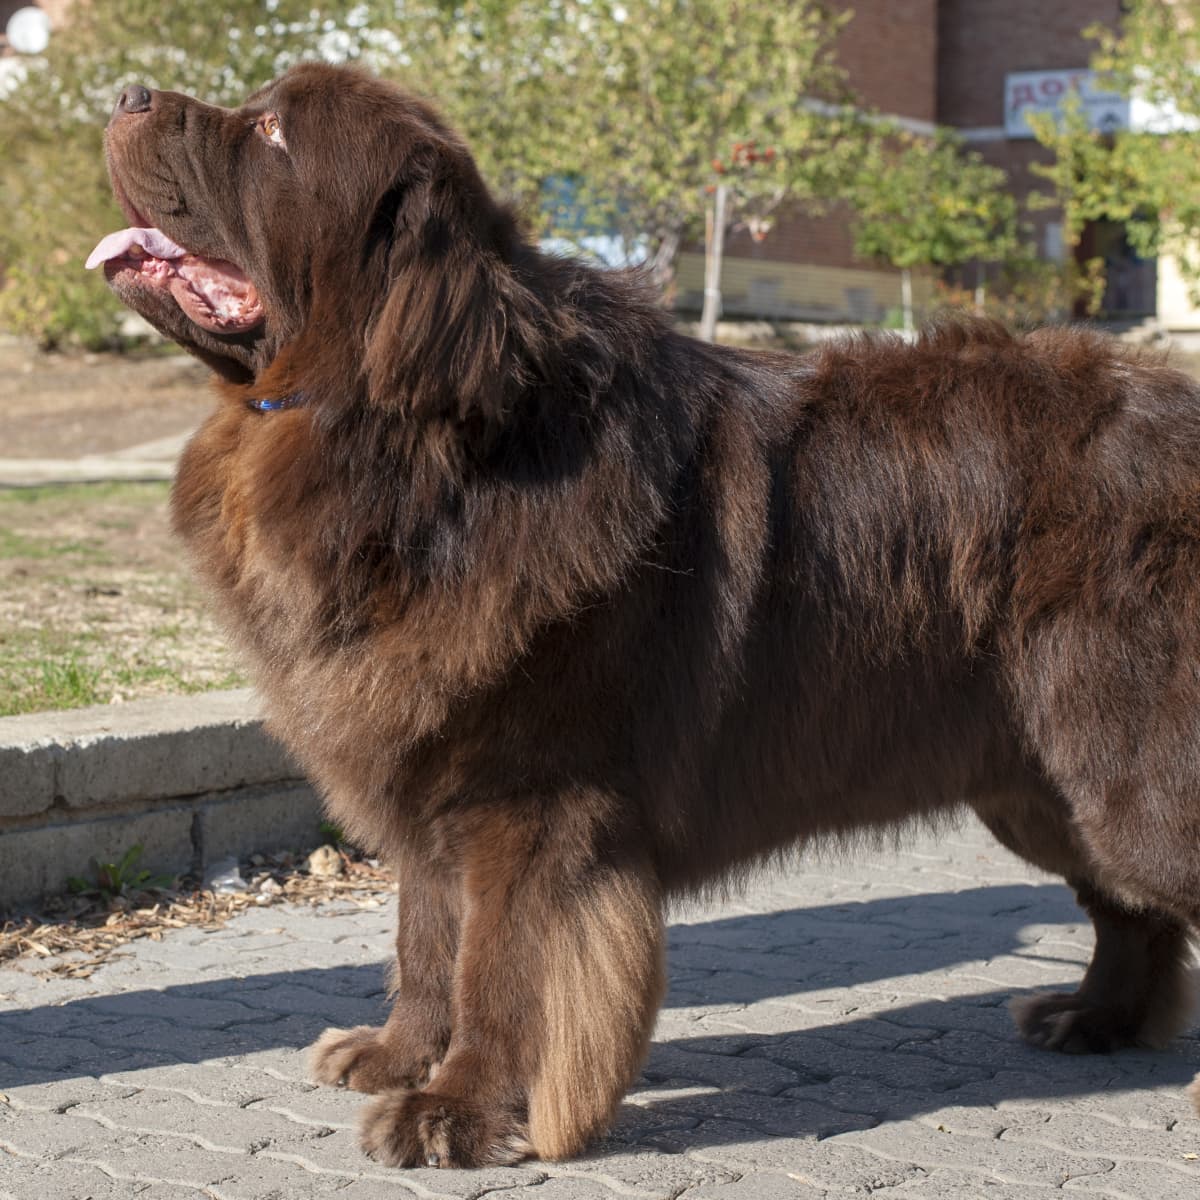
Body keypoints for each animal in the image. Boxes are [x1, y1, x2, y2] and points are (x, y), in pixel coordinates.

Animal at [91, 63, 1200, 1161]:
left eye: (272, 132)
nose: (127, 92)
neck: (402, 440)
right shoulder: (436, 770)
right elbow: (426, 935)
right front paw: (399, 1055)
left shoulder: (536, 800)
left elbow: (501, 968)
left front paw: (456, 1110)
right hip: (1041, 784)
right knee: (1128, 909)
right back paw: (1093, 1017)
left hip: (1122, 776)